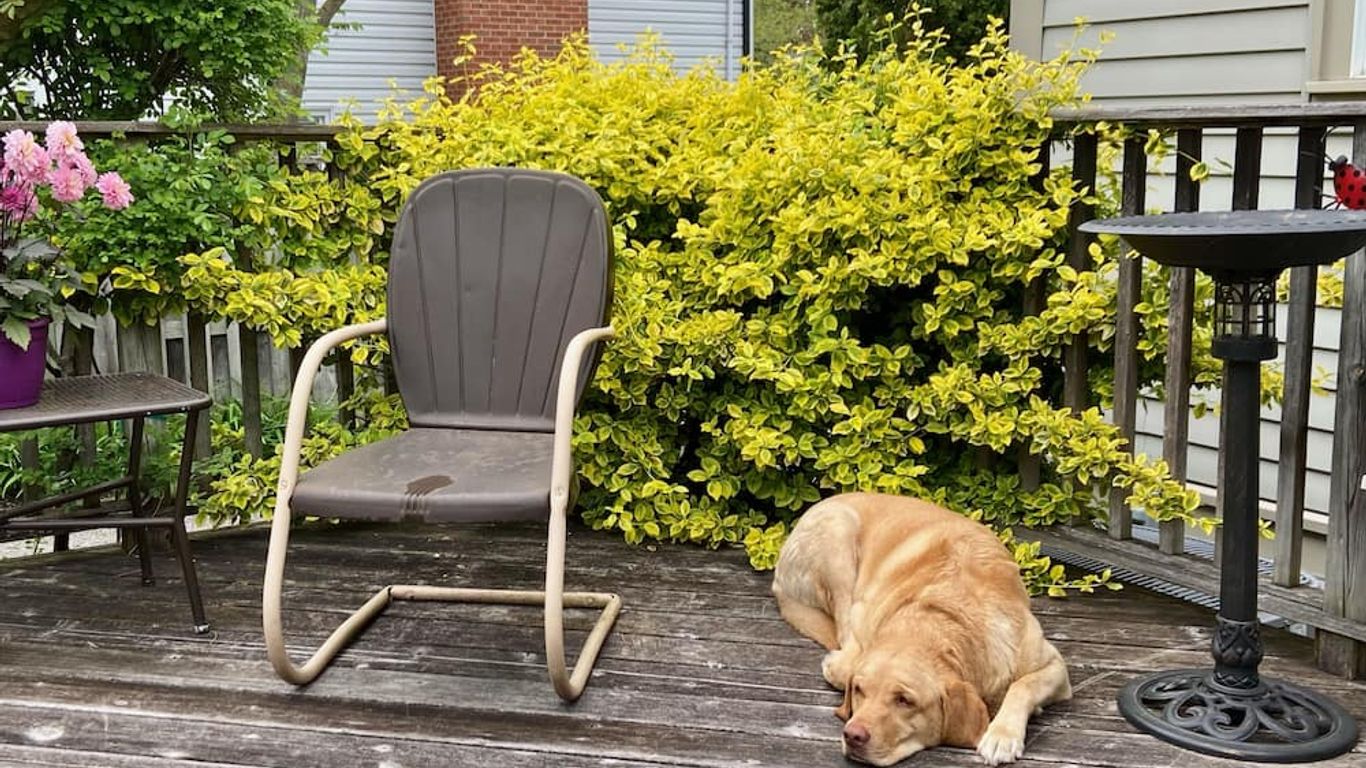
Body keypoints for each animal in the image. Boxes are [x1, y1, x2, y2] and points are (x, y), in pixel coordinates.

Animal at [771, 492, 1071, 766]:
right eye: (859, 690)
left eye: (905, 700)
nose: (853, 735)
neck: (942, 617)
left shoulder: (1055, 666)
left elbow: (1023, 685)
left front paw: (1002, 735)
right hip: (838, 536)